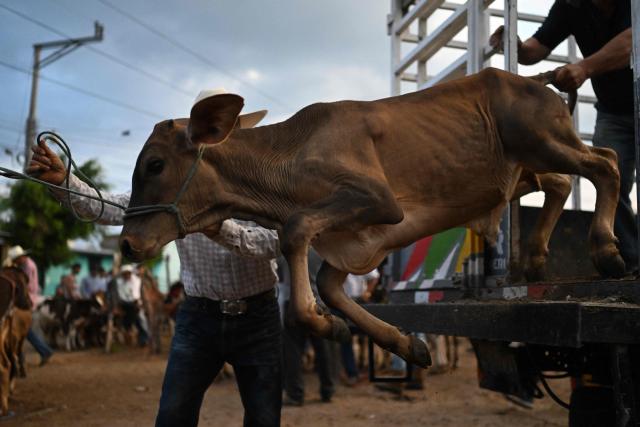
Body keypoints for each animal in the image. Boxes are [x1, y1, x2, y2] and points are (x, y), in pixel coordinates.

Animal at [118, 68, 624, 368]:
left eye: (155, 165)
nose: (125, 242)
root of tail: (534, 77)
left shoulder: (374, 200)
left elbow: (296, 234)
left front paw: (320, 321)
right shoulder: (358, 241)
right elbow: (328, 287)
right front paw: (402, 343)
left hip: (541, 140)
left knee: (606, 162)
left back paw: (606, 252)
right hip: (525, 167)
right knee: (562, 183)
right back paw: (536, 259)